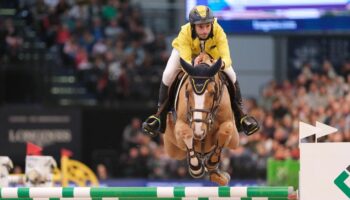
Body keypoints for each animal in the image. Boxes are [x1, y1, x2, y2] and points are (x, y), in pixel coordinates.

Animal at [163, 53, 239, 186]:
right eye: (187, 92)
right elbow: (185, 132)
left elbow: (226, 130)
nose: (198, 131)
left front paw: (212, 163)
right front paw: (196, 168)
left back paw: (218, 175)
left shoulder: (231, 131)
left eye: (213, 92)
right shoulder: (180, 127)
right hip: (173, 150)